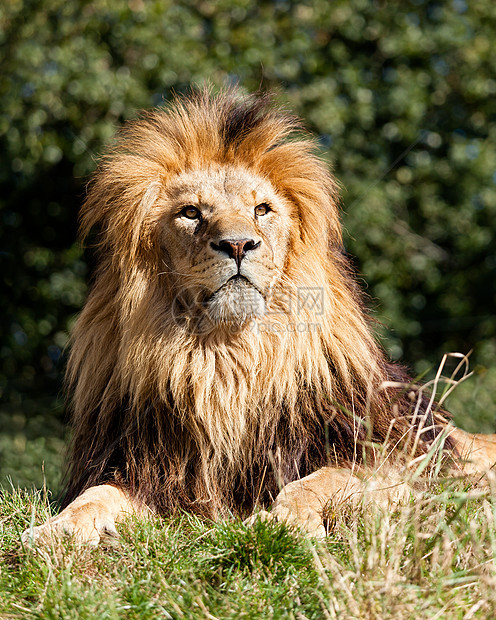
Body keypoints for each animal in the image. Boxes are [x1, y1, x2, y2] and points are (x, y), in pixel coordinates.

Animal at [21, 88, 496, 548]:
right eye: (191, 213)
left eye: (262, 210)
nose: (237, 244)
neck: (227, 361)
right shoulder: (148, 471)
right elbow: (96, 494)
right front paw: (55, 529)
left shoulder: (391, 461)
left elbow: (317, 481)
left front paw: (281, 522)